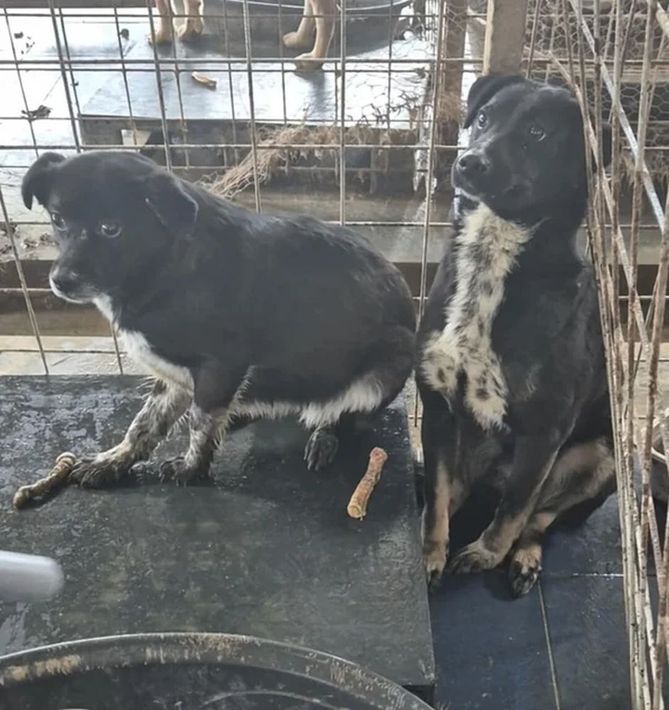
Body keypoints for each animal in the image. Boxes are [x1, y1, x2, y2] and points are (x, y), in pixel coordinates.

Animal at [22, 151, 415, 488]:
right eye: (57, 220)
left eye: (110, 228)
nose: (60, 281)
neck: (165, 267)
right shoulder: (176, 376)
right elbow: (145, 423)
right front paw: (113, 462)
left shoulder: (220, 367)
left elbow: (200, 423)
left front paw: (191, 469)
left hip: (390, 361)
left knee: (339, 413)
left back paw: (324, 435)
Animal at [416, 74, 615, 596]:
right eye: (485, 118)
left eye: (538, 134)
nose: (469, 162)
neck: (492, 255)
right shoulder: (438, 408)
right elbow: (438, 494)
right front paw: (431, 555)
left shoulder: (544, 432)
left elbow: (516, 507)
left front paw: (485, 554)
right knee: (456, 488)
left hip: (599, 459)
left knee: (539, 517)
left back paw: (523, 557)